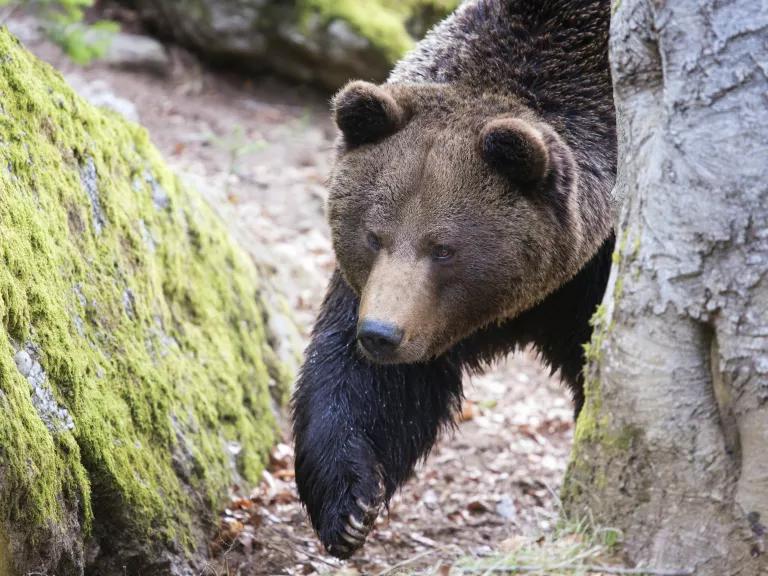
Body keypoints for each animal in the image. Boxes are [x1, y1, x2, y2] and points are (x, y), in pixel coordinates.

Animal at [292, 0, 616, 559]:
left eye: (443, 249)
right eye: (374, 235)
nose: (380, 334)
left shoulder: (593, 275)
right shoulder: (383, 296)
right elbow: (366, 383)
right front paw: (349, 505)